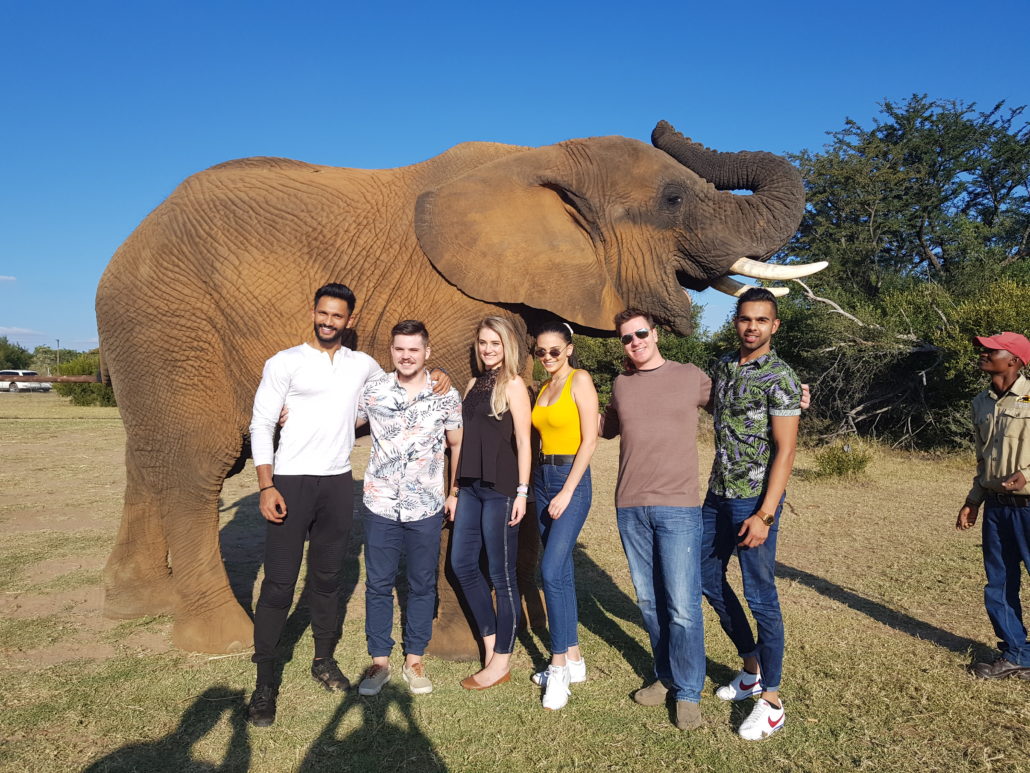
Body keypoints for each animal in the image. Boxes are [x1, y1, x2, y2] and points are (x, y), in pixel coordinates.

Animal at [96, 120, 823, 655]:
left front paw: (526, 632)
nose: (662, 122)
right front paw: (459, 648)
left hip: (148, 333)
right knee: (197, 463)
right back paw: (219, 639)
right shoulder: (455, 307)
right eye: (673, 200)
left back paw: (134, 604)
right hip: (172, 320)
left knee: (148, 458)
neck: (539, 161)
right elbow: (460, 451)